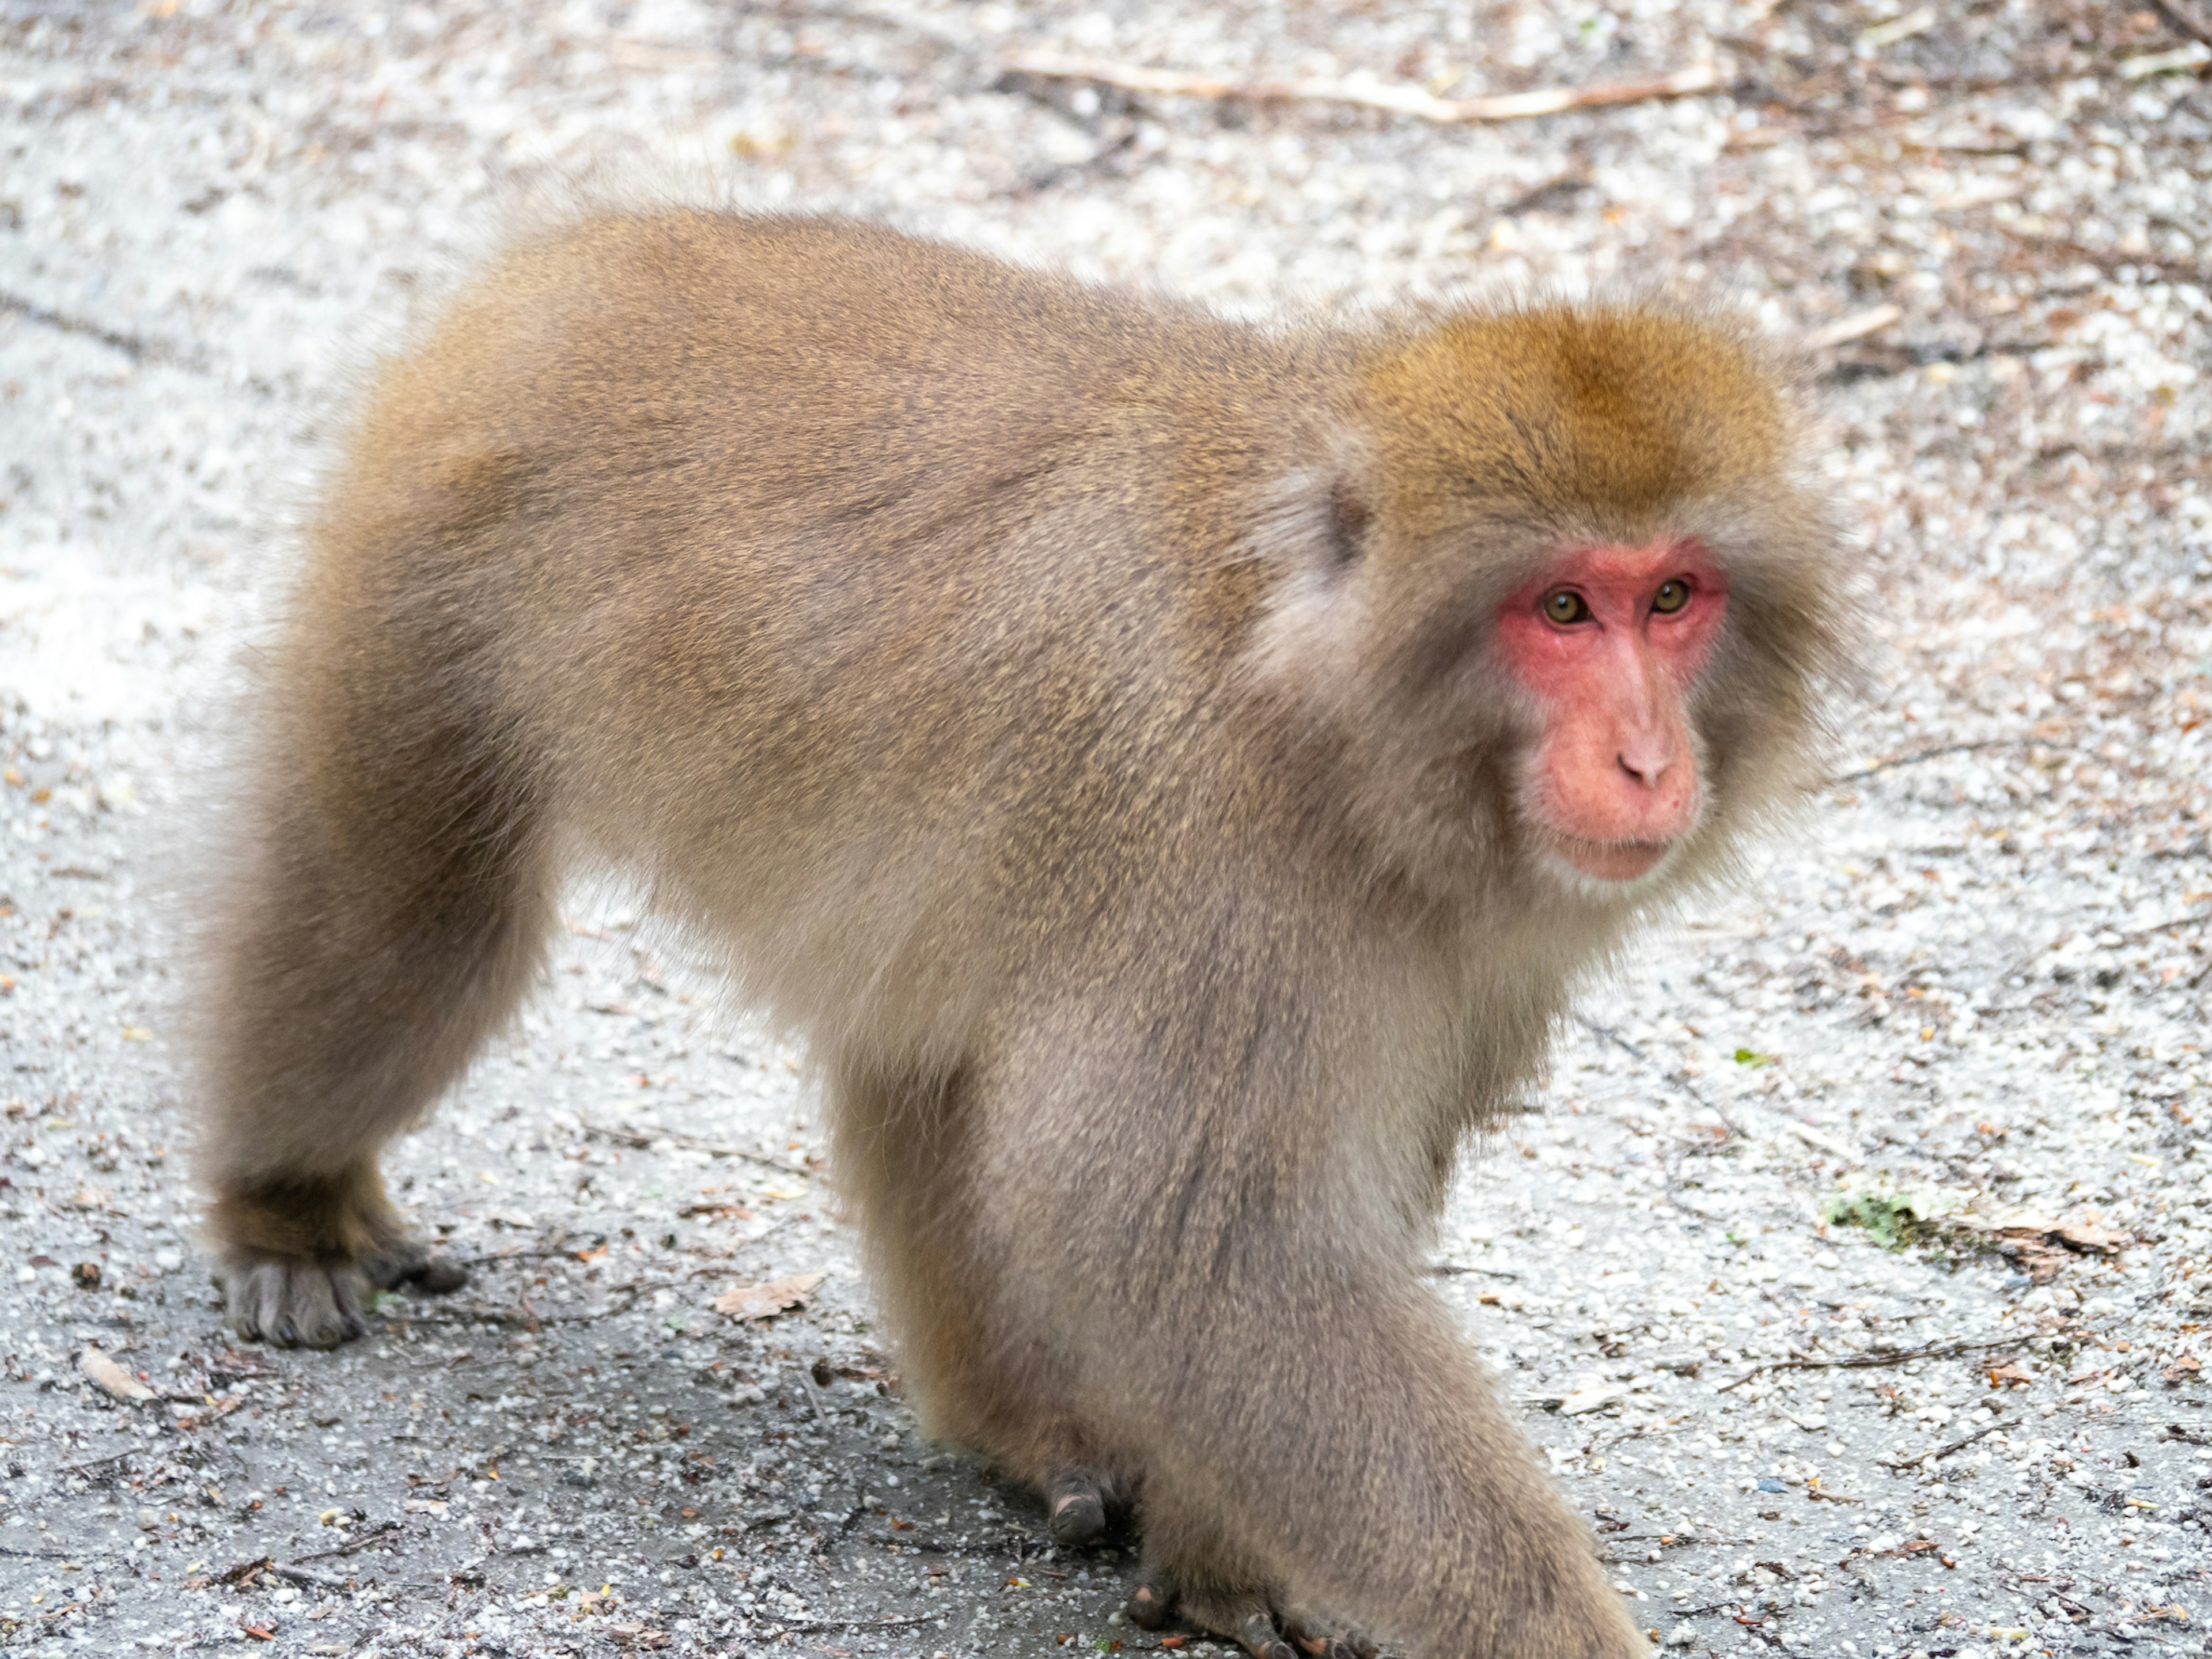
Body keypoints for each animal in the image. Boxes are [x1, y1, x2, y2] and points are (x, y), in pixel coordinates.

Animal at [194, 211, 1849, 1659]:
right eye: (1564, 608)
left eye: (1675, 596)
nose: (1648, 763)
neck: (1321, 706)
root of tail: (587, 251)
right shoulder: (1217, 870)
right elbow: (1177, 1230)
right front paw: (1552, 1632)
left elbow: (1215, 1248)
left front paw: (1214, 1552)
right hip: (429, 561)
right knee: (417, 922)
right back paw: (285, 1200)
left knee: (927, 1060)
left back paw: (1021, 1423)